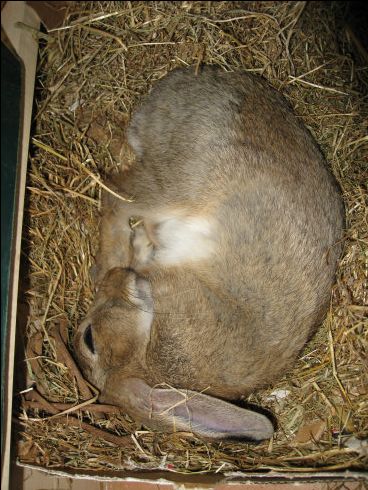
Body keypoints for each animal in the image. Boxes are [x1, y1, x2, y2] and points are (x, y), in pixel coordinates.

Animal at [74, 65, 344, 440]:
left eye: (89, 338)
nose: (114, 281)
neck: (146, 355)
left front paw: (137, 249)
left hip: (171, 187)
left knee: (116, 198)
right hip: (169, 186)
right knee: (115, 197)